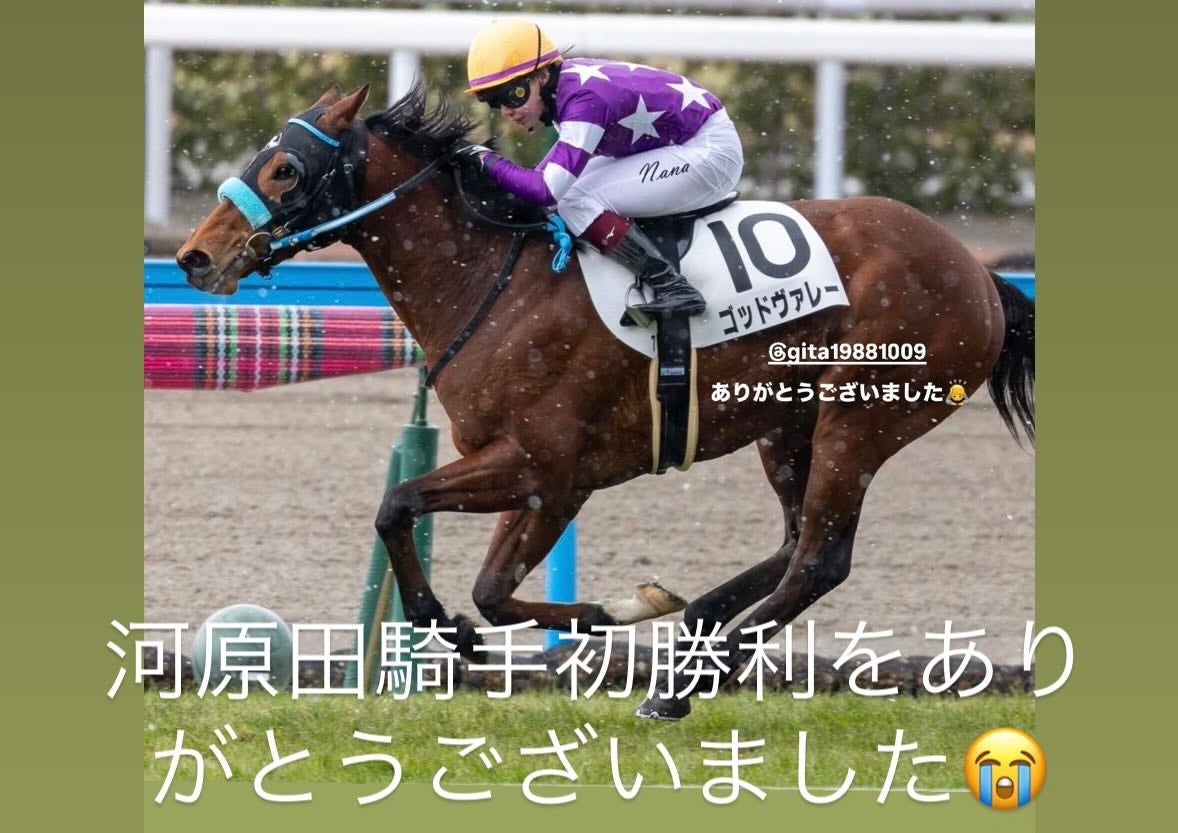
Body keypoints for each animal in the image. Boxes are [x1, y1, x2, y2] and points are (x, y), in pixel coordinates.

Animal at [176, 82, 1034, 719]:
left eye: (285, 170)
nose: (194, 256)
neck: (495, 279)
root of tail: (978, 270)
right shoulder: (544, 481)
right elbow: (490, 589)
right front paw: (606, 611)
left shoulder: (542, 465)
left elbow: (400, 506)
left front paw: (469, 629)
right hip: (787, 423)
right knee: (796, 539)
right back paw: (696, 623)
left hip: (862, 417)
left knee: (821, 557)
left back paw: (683, 686)